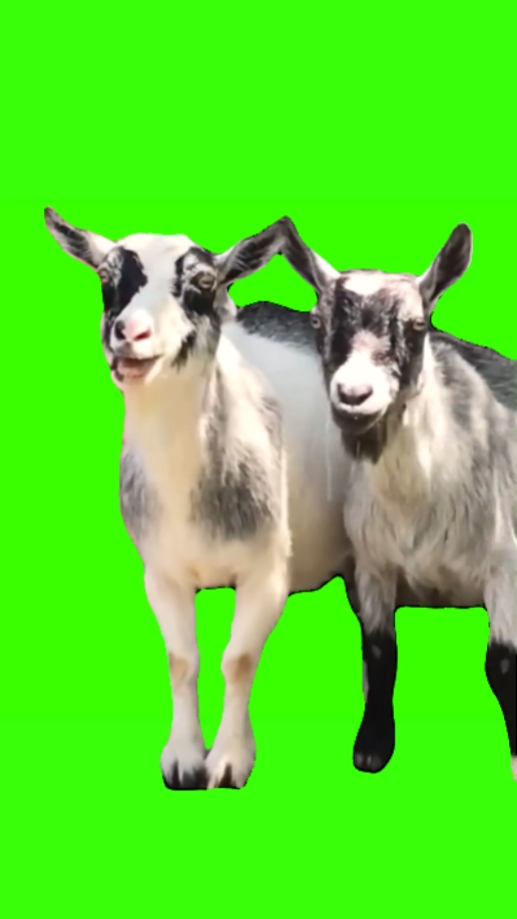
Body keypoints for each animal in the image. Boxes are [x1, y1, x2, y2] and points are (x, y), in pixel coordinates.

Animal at [279, 219, 517, 780]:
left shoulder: (505, 567)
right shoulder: (373, 563)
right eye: (317, 322)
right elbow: (380, 649)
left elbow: (501, 665)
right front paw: (371, 746)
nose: (354, 395)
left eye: (417, 326)